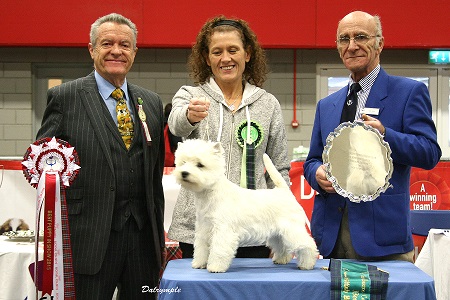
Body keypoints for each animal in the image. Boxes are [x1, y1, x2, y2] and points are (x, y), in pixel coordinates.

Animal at [174, 139, 318, 274]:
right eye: (183, 162)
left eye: (200, 165)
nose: (184, 173)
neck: (209, 194)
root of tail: (284, 192)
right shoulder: (204, 228)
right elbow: (201, 248)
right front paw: (199, 264)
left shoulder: (223, 230)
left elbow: (219, 250)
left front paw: (215, 267)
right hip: (277, 233)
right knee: (282, 245)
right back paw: (281, 260)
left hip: (292, 229)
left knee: (308, 244)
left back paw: (306, 264)